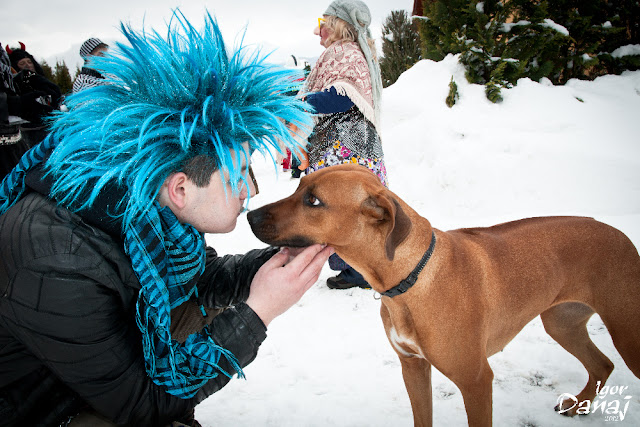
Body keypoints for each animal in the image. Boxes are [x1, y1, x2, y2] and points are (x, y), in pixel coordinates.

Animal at [247, 164, 640, 426]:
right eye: (299, 186)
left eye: (313, 201)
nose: (249, 215)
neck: (408, 281)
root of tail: (621, 234)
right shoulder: (413, 367)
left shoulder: (477, 380)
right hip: (562, 322)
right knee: (602, 364)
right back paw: (579, 405)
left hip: (627, 332)